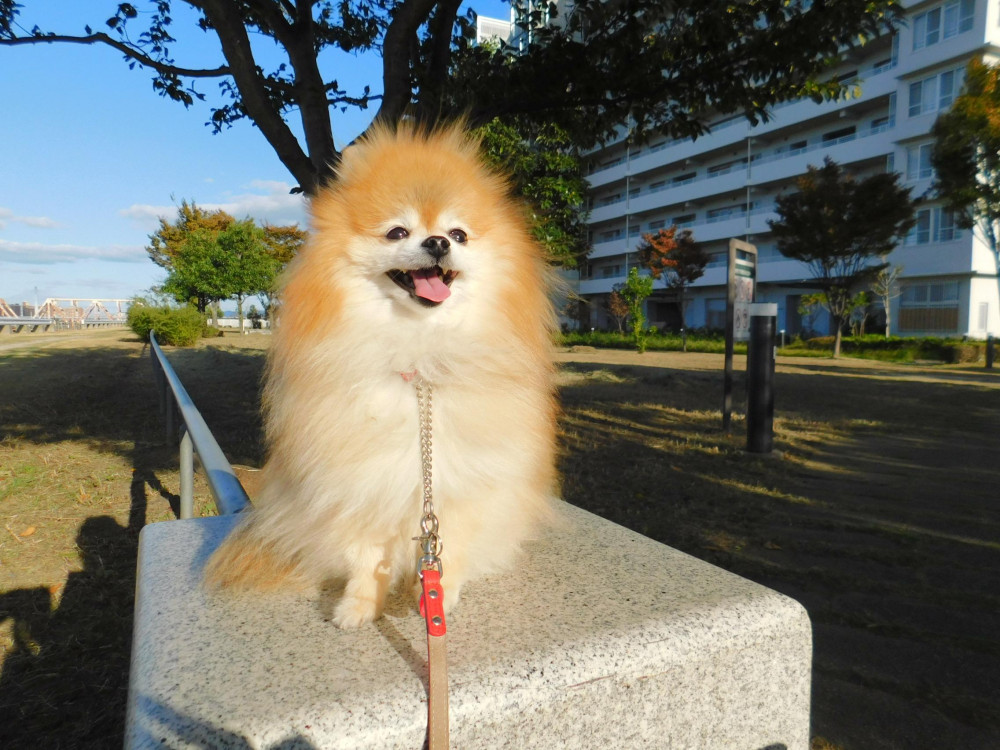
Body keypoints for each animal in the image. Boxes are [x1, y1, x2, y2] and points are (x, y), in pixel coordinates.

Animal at [206, 122, 560, 628]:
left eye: (458, 234)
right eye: (398, 231)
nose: (438, 242)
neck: (420, 364)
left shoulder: (464, 482)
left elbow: (449, 547)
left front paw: (439, 598)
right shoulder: (356, 478)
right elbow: (363, 554)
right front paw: (358, 605)